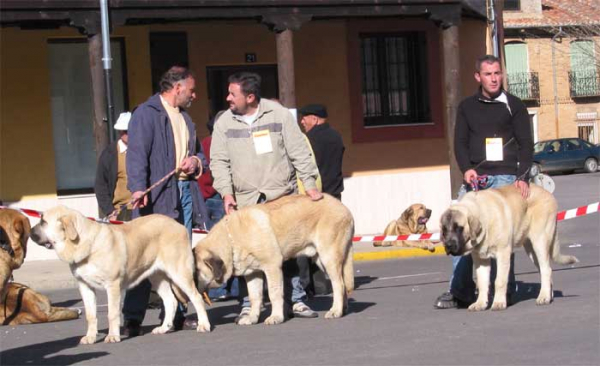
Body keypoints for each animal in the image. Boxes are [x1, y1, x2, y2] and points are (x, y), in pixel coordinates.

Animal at [31, 207, 213, 344]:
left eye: (43, 221)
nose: (31, 232)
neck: (83, 243)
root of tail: (179, 225)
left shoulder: (112, 285)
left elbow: (112, 313)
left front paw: (112, 336)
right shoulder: (85, 286)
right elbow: (90, 315)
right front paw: (90, 337)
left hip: (179, 273)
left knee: (196, 297)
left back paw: (204, 325)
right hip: (157, 277)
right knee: (171, 301)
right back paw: (164, 328)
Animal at [192, 194, 354, 326]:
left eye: (195, 271)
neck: (231, 239)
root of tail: (345, 209)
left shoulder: (272, 266)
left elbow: (274, 293)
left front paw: (276, 317)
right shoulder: (253, 273)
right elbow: (255, 297)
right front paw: (252, 318)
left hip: (328, 256)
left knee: (338, 284)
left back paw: (335, 311)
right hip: (322, 259)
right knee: (342, 283)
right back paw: (343, 309)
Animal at [440, 184, 576, 310]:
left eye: (459, 228)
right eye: (444, 230)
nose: (449, 245)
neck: (485, 219)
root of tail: (548, 193)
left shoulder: (503, 253)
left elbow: (499, 280)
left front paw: (498, 303)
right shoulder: (480, 259)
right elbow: (482, 282)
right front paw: (480, 303)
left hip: (540, 241)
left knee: (546, 269)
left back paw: (544, 297)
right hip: (531, 250)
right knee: (544, 270)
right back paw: (548, 295)